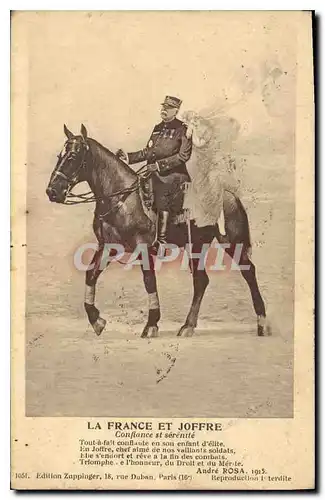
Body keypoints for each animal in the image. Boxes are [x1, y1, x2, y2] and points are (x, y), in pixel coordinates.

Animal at [45, 123, 268, 338]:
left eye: (72, 157)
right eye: (59, 156)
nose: (52, 191)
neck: (122, 199)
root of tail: (229, 194)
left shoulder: (143, 248)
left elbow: (149, 281)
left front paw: (151, 323)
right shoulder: (108, 247)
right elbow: (90, 275)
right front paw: (96, 321)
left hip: (232, 241)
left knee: (248, 272)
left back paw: (262, 323)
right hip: (196, 245)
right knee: (201, 280)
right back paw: (188, 326)